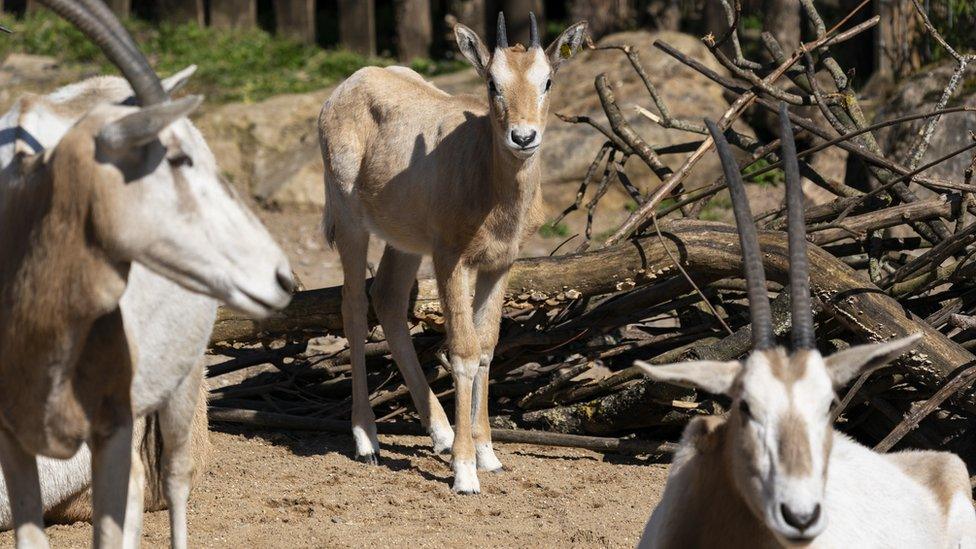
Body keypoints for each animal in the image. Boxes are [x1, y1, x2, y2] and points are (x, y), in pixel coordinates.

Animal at [322, 13, 588, 492]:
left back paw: (442, 434)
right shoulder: (451, 260)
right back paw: (367, 439)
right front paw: (465, 472)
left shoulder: (500, 264)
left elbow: (486, 348)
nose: (523, 136)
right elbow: (462, 352)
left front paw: (487, 455)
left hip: (406, 242)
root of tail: (347, 86)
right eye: (492, 82)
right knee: (353, 306)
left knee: (387, 298)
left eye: (547, 80)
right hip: (351, 221)